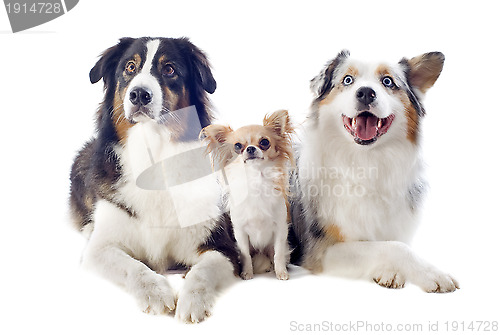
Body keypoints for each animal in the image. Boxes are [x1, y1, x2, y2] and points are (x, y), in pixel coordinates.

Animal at [202, 110, 292, 280]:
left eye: (264, 142)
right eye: (237, 146)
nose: (250, 148)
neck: (256, 178)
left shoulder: (280, 229)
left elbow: (278, 254)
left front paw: (281, 272)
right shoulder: (240, 232)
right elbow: (245, 255)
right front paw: (247, 273)